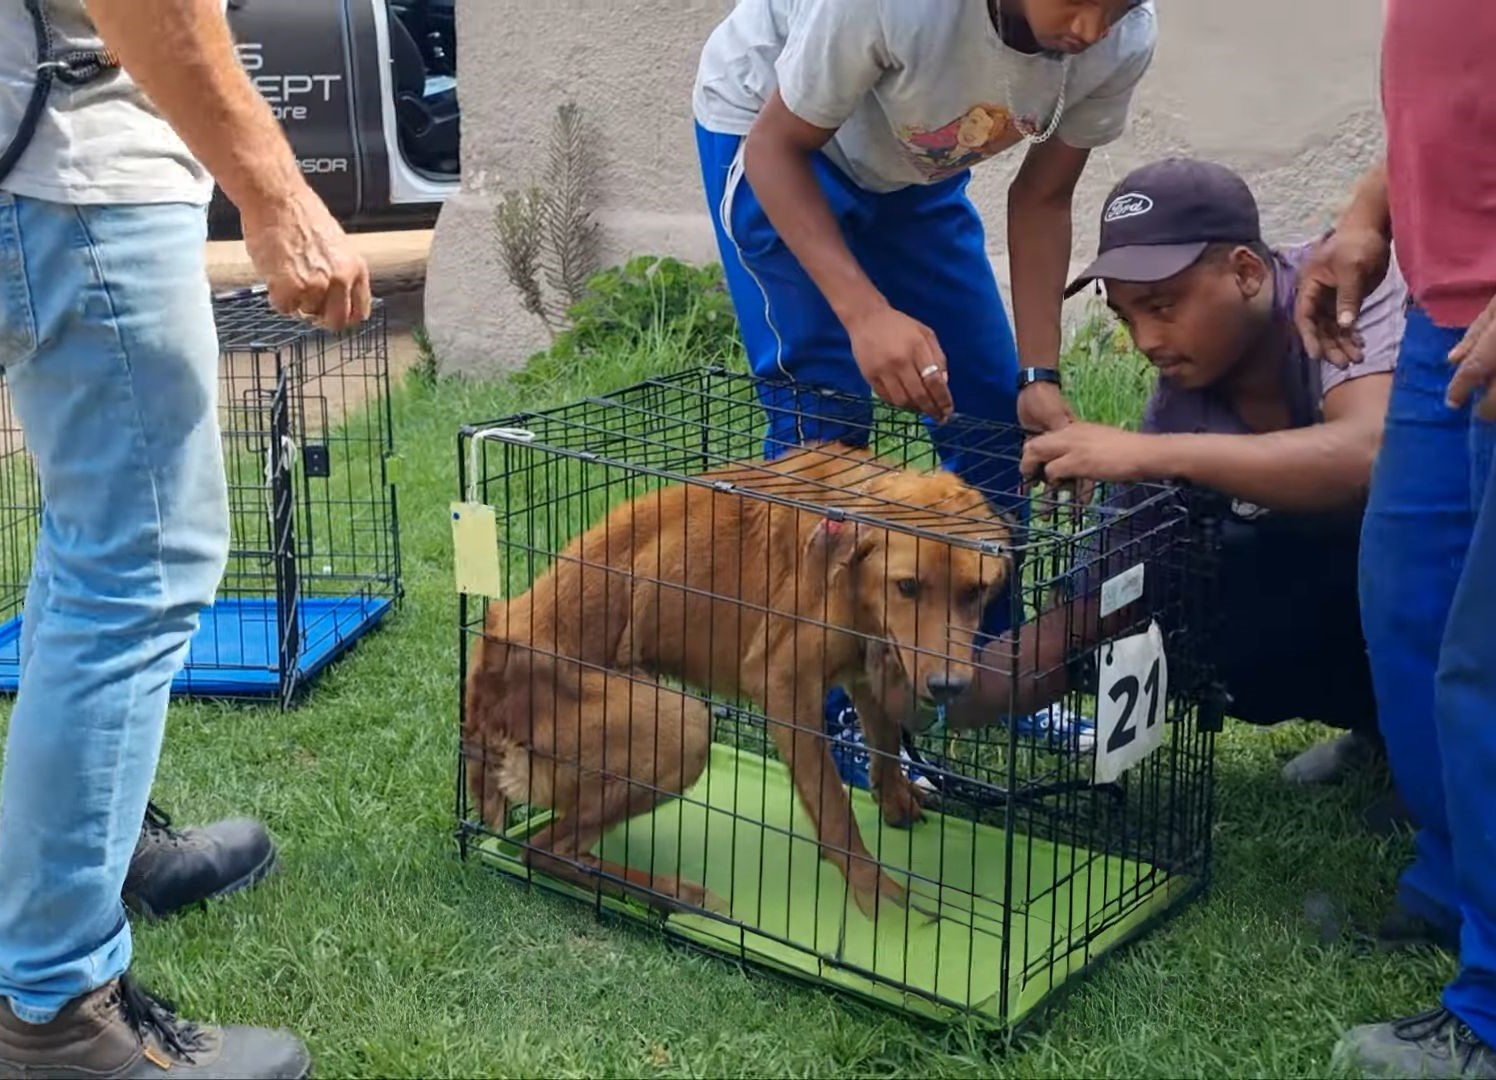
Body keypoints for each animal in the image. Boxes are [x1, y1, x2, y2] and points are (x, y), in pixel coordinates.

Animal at [460, 442, 1011, 921]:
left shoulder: (870, 659)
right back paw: (672, 893)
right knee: (544, 849)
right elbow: (836, 814)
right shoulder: (784, 684)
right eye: (908, 586)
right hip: (680, 723)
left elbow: (884, 740)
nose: (947, 686)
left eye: (974, 592)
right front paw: (875, 895)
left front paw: (894, 798)